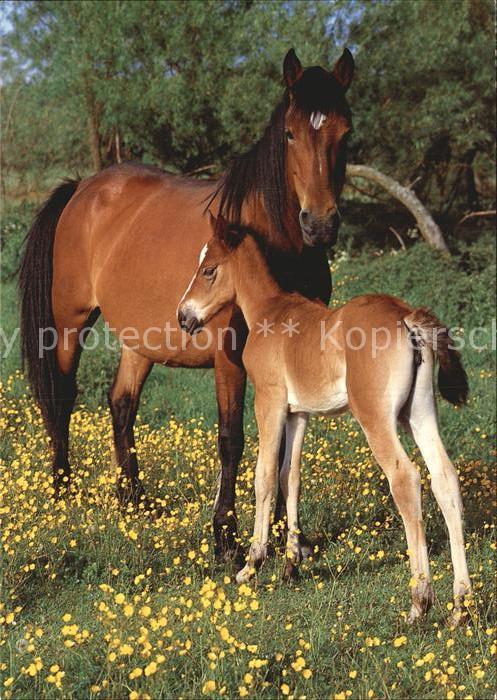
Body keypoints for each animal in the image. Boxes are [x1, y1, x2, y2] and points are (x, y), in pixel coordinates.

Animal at [19, 47, 355, 560]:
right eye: (291, 133)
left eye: (345, 133)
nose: (319, 224)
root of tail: (82, 189)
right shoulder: (230, 357)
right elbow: (232, 439)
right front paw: (225, 537)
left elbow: (281, 447)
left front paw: (280, 534)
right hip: (68, 321)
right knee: (61, 397)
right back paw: (63, 494)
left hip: (139, 338)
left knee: (121, 402)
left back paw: (133, 500)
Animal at [177, 215, 472, 624]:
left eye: (208, 269)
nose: (183, 316)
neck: (271, 311)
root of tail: (406, 317)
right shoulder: (299, 413)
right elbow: (291, 476)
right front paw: (291, 566)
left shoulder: (269, 401)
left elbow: (264, 476)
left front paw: (251, 564)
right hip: (420, 412)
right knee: (445, 478)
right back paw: (461, 607)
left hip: (375, 417)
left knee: (405, 480)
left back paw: (419, 603)